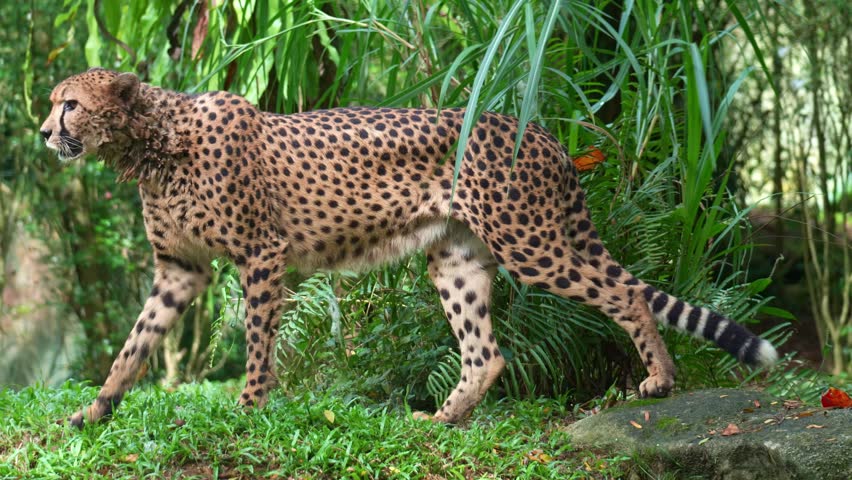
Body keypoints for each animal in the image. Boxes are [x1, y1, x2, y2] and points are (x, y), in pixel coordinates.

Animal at [40, 68, 777, 428]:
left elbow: (256, 345)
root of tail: (537, 129)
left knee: (624, 291)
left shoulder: (261, 254)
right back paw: (441, 421)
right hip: (456, 258)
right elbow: (132, 348)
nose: (45, 132)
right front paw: (93, 412)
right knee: (486, 351)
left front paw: (248, 410)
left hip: (531, 242)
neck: (152, 142)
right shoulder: (180, 271)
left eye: (68, 104)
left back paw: (660, 378)